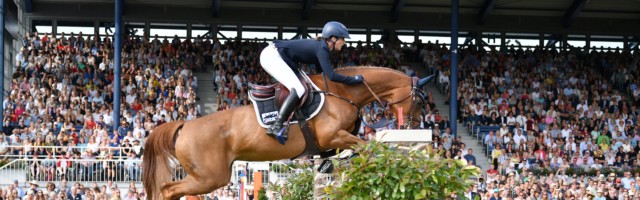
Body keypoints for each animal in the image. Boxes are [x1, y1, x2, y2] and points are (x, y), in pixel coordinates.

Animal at [143, 66, 432, 199]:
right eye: (419, 101)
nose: (410, 126)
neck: (344, 92)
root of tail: (185, 124)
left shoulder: (333, 142)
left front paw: (331, 165)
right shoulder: (333, 136)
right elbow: (369, 146)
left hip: (207, 177)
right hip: (210, 177)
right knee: (169, 190)